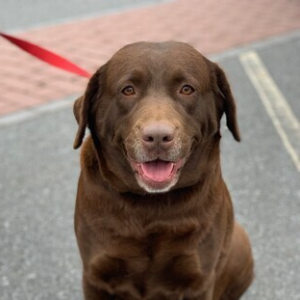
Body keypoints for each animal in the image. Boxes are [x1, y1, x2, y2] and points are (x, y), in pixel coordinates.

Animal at [73, 41, 253, 300]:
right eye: (128, 90)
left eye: (186, 89)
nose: (157, 136)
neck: (150, 207)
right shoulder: (95, 276)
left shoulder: (199, 280)